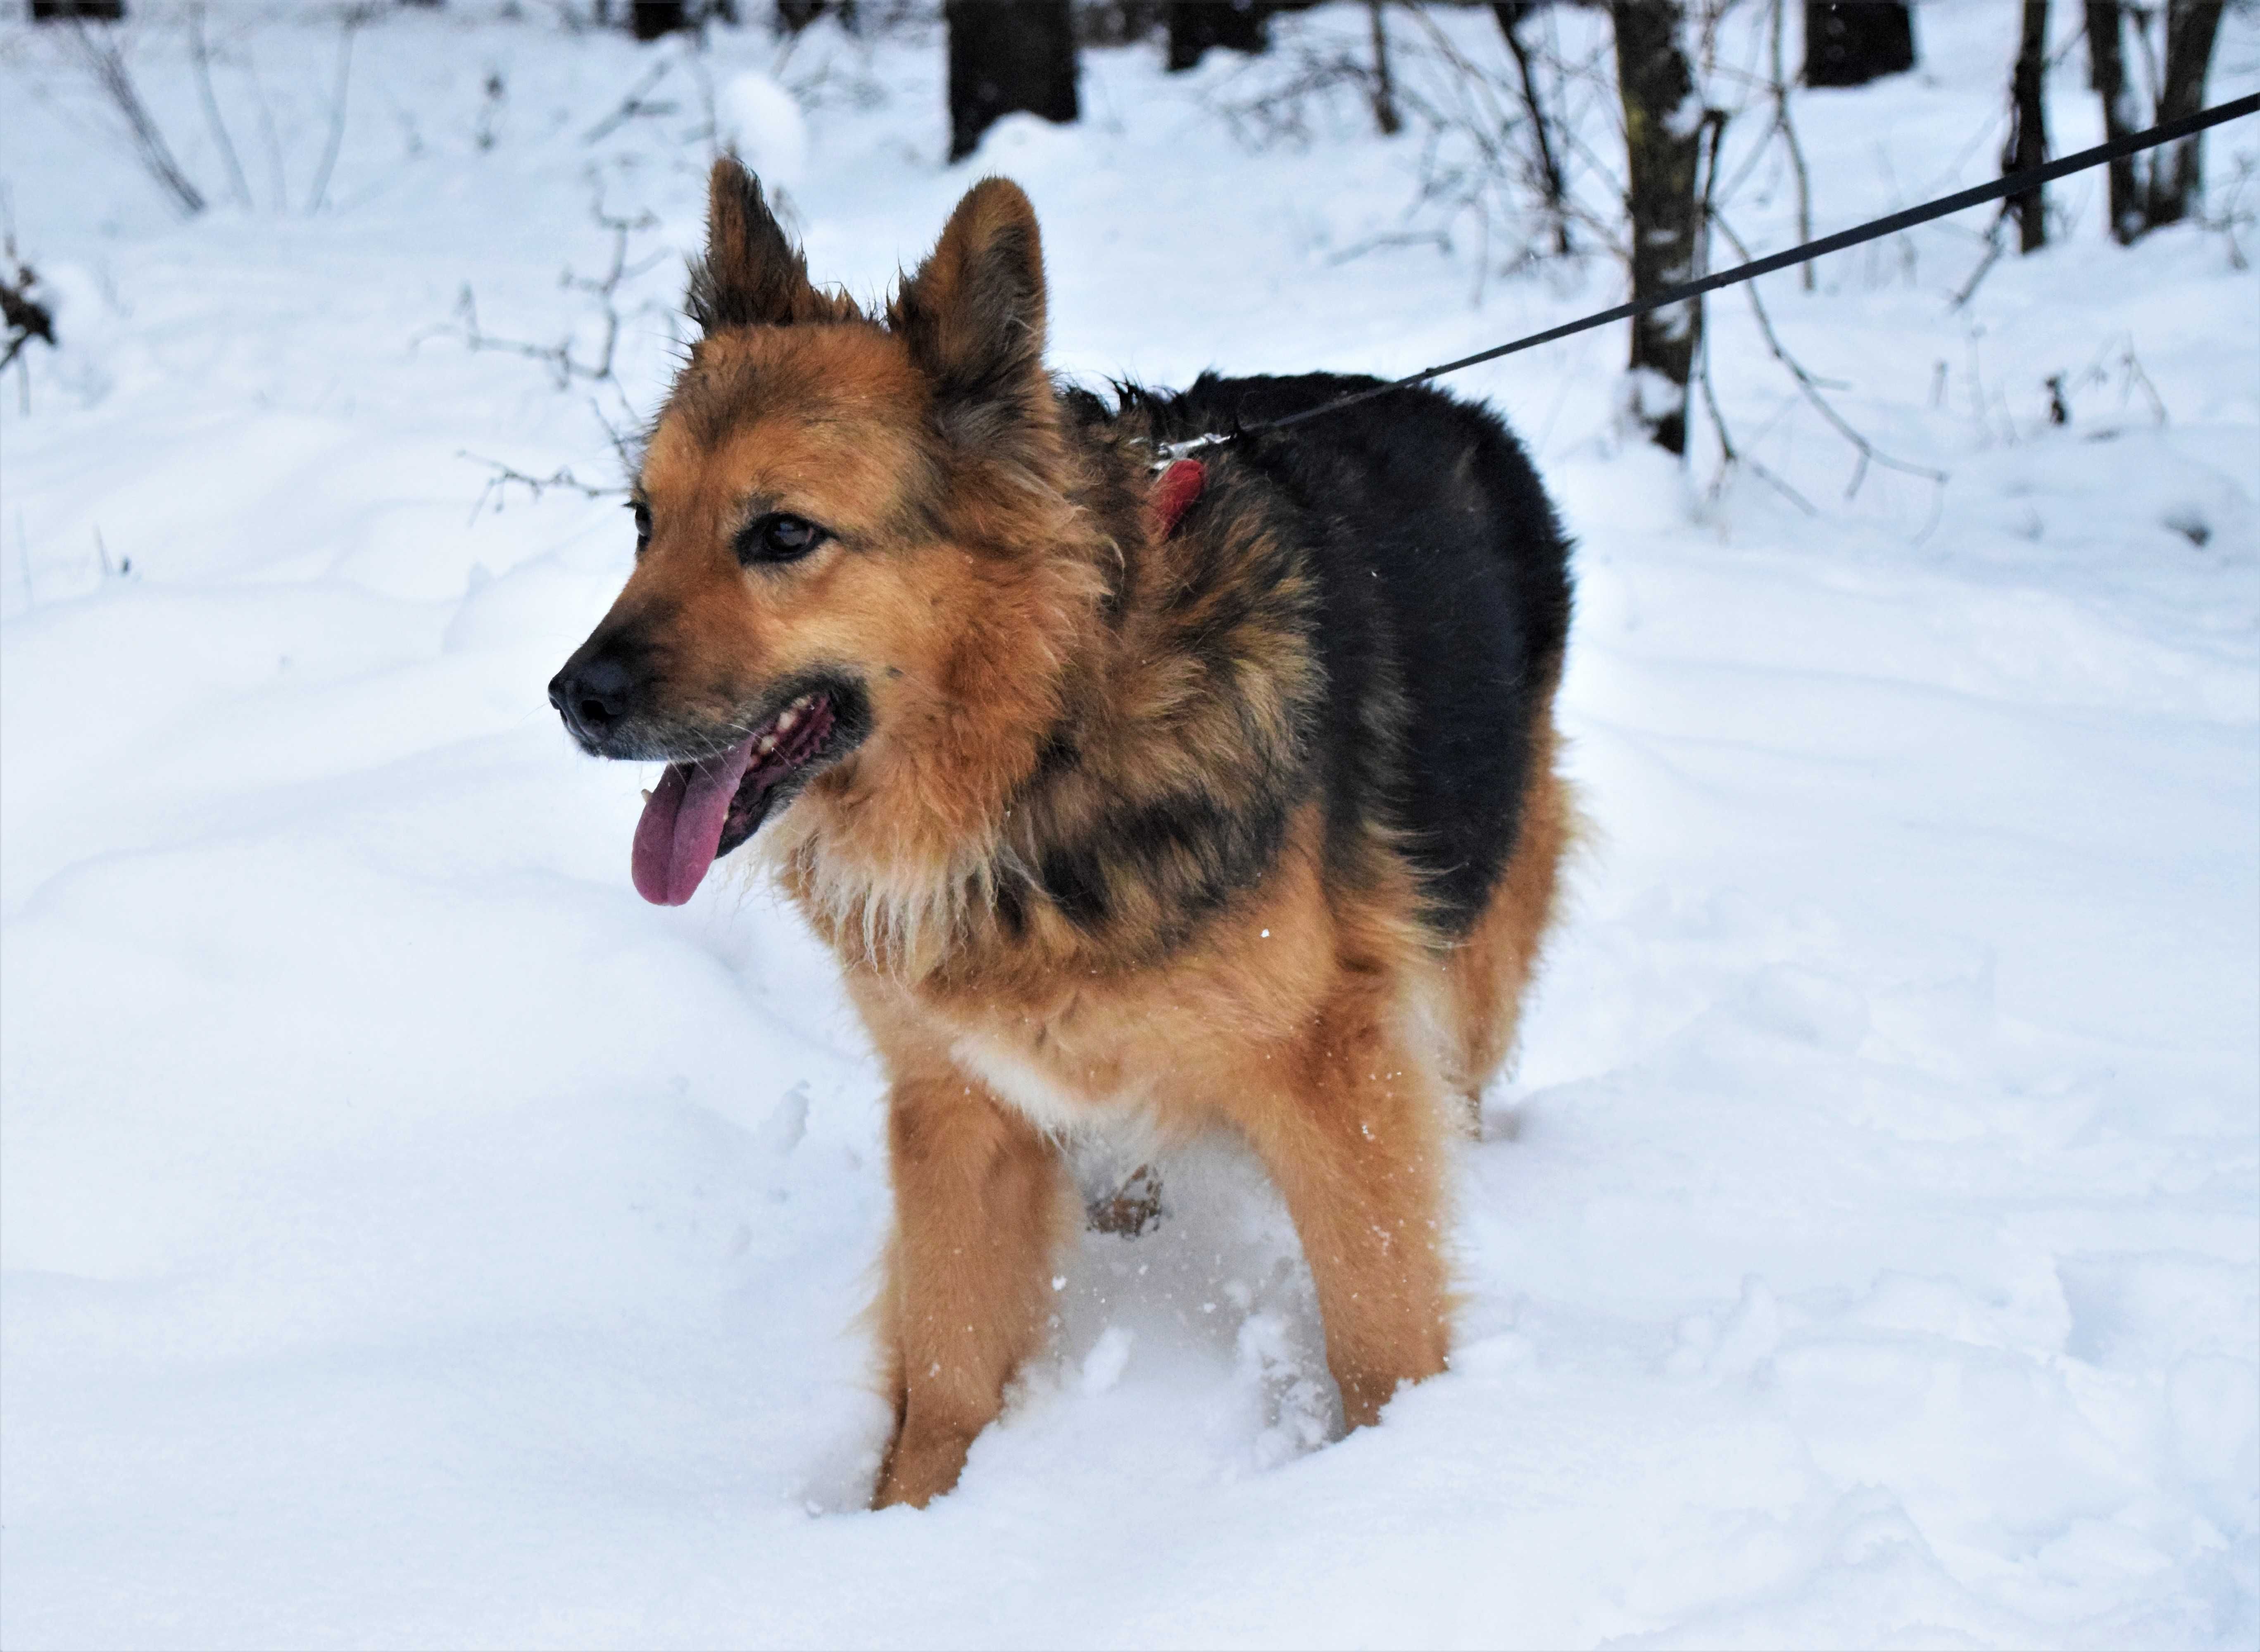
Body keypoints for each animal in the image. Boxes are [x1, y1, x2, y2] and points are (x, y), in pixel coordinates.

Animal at [551, 158, 1573, 1509]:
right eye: (641, 520)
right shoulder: (956, 1110)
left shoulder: (1336, 1078)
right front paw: (902, 1529)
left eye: (782, 534)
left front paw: (1400, 1477)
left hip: (1470, 951)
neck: (1043, 752)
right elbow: (944, 1372)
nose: (574, 697)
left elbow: (1379, 1335)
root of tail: (1463, 413)